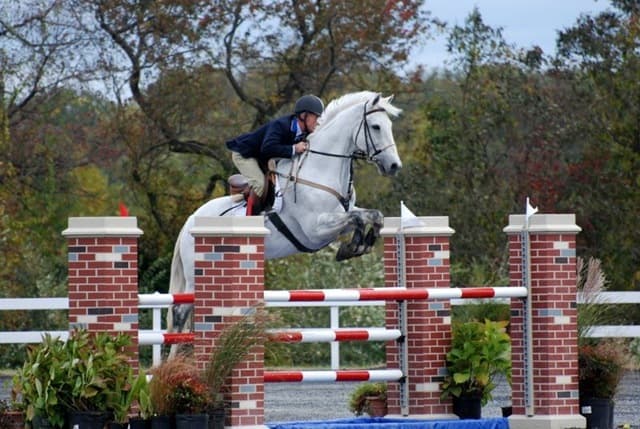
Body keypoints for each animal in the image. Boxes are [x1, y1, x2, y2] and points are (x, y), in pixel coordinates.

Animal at [168, 91, 403, 337]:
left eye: (389, 125)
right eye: (376, 126)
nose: (394, 166)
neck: (321, 169)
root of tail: (190, 222)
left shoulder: (341, 215)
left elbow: (372, 215)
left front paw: (358, 246)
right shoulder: (316, 229)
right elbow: (358, 218)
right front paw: (353, 247)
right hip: (194, 274)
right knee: (180, 312)